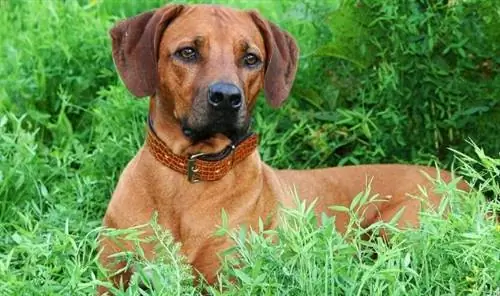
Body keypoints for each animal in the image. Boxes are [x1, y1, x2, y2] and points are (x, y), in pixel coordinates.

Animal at [98, 4, 468, 294]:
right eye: (187, 52)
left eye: (251, 58)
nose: (227, 98)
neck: (190, 174)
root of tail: (469, 185)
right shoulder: (108, 279)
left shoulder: (234, 280)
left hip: (395, 227)